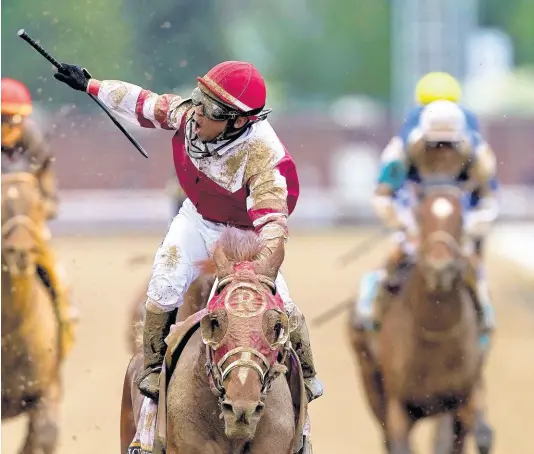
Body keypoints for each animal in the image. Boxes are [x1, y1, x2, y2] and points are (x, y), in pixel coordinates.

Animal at [350, 185, 488, 454]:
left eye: (461, 219)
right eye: (421, 217)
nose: (440, 269)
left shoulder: (457, 400)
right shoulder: (399, 407)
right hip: (371, 382)